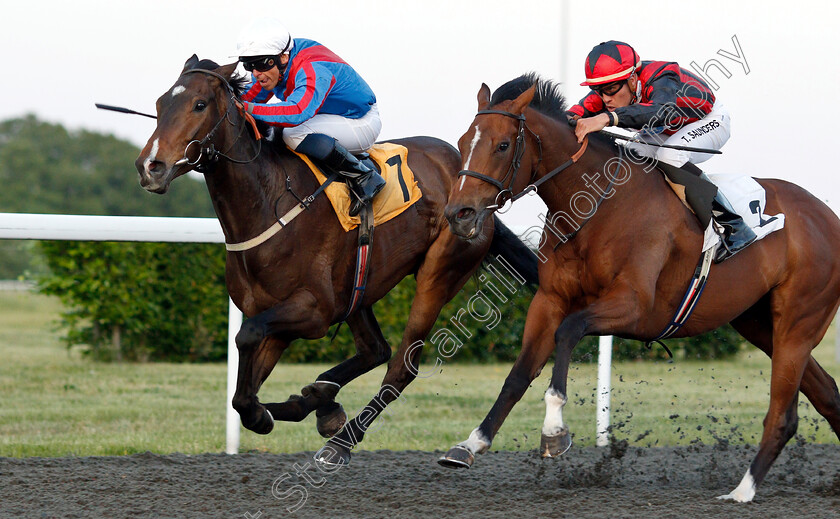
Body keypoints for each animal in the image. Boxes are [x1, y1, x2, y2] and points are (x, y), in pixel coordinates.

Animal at [132, 58, 540, 468]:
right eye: (160, 103)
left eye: (199, 105)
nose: (150, 166)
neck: (269, 200)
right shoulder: (276, 316)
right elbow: (242, 389)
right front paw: (290, 406)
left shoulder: (313, 310)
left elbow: (246, 338)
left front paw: (268, 414)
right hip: (358, 284)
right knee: (375, 348)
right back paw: (320, 400)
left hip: (439, 271)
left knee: (401, 365)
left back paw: (340, 440)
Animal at [440, 71, 840, 502]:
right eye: (462, 142)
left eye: (502, 145)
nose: (459, 214)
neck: (598, 206)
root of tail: (827, 216)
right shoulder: (549, 300)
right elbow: (518, 374)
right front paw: (470, 444)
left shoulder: (635, 306)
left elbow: (569, 331)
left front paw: (554, 431)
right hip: (761, 324)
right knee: (826, 393)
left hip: (798, 324)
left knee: (783, 414)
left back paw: (741, 491)